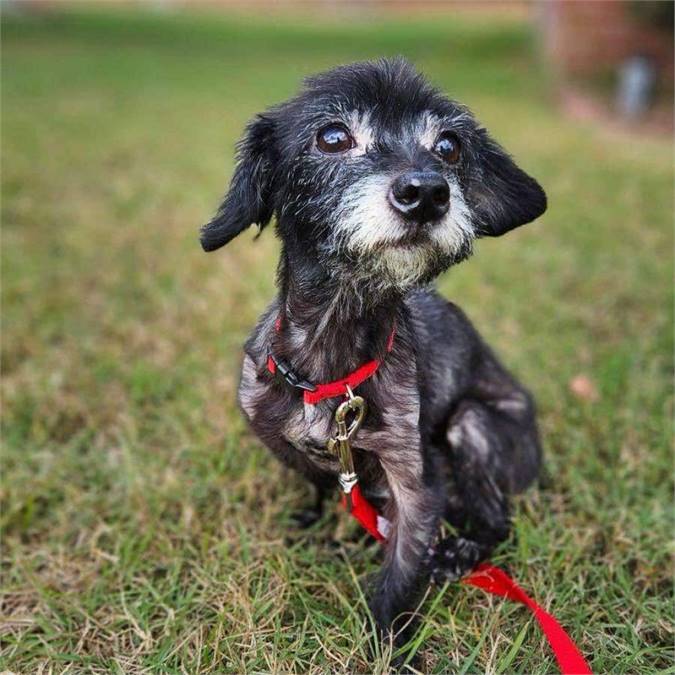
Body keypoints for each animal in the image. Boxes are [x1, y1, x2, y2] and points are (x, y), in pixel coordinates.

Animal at [198, 58, 548, 660]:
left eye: (449, 147)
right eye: (333, 137)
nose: (427, 192)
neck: (333, 356)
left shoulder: (415, 479)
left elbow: (400, 575)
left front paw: (390, 644)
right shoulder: (269, 426)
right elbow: (316, 479)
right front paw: (315, 517)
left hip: (475, 423)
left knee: (500, 518)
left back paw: (462, 551)